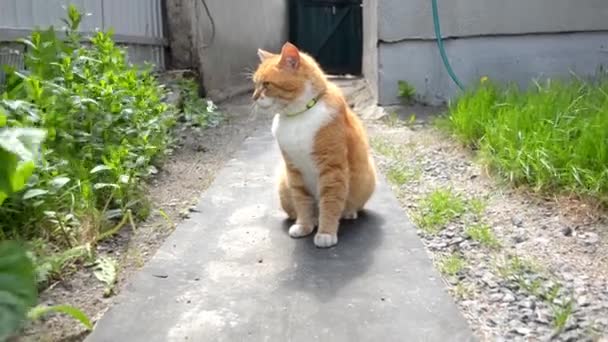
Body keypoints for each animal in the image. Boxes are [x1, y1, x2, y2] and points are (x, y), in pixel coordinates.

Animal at [252, 42, 376, 248]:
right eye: (254, 84)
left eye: (266, 84)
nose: (253, 97)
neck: (299, 116)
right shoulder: (294, 170)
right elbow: (302, 201)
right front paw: (304, 225)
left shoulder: (332, 169)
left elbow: (331, 202)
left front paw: (326, 233)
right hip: (283, 183)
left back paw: (347, 213)